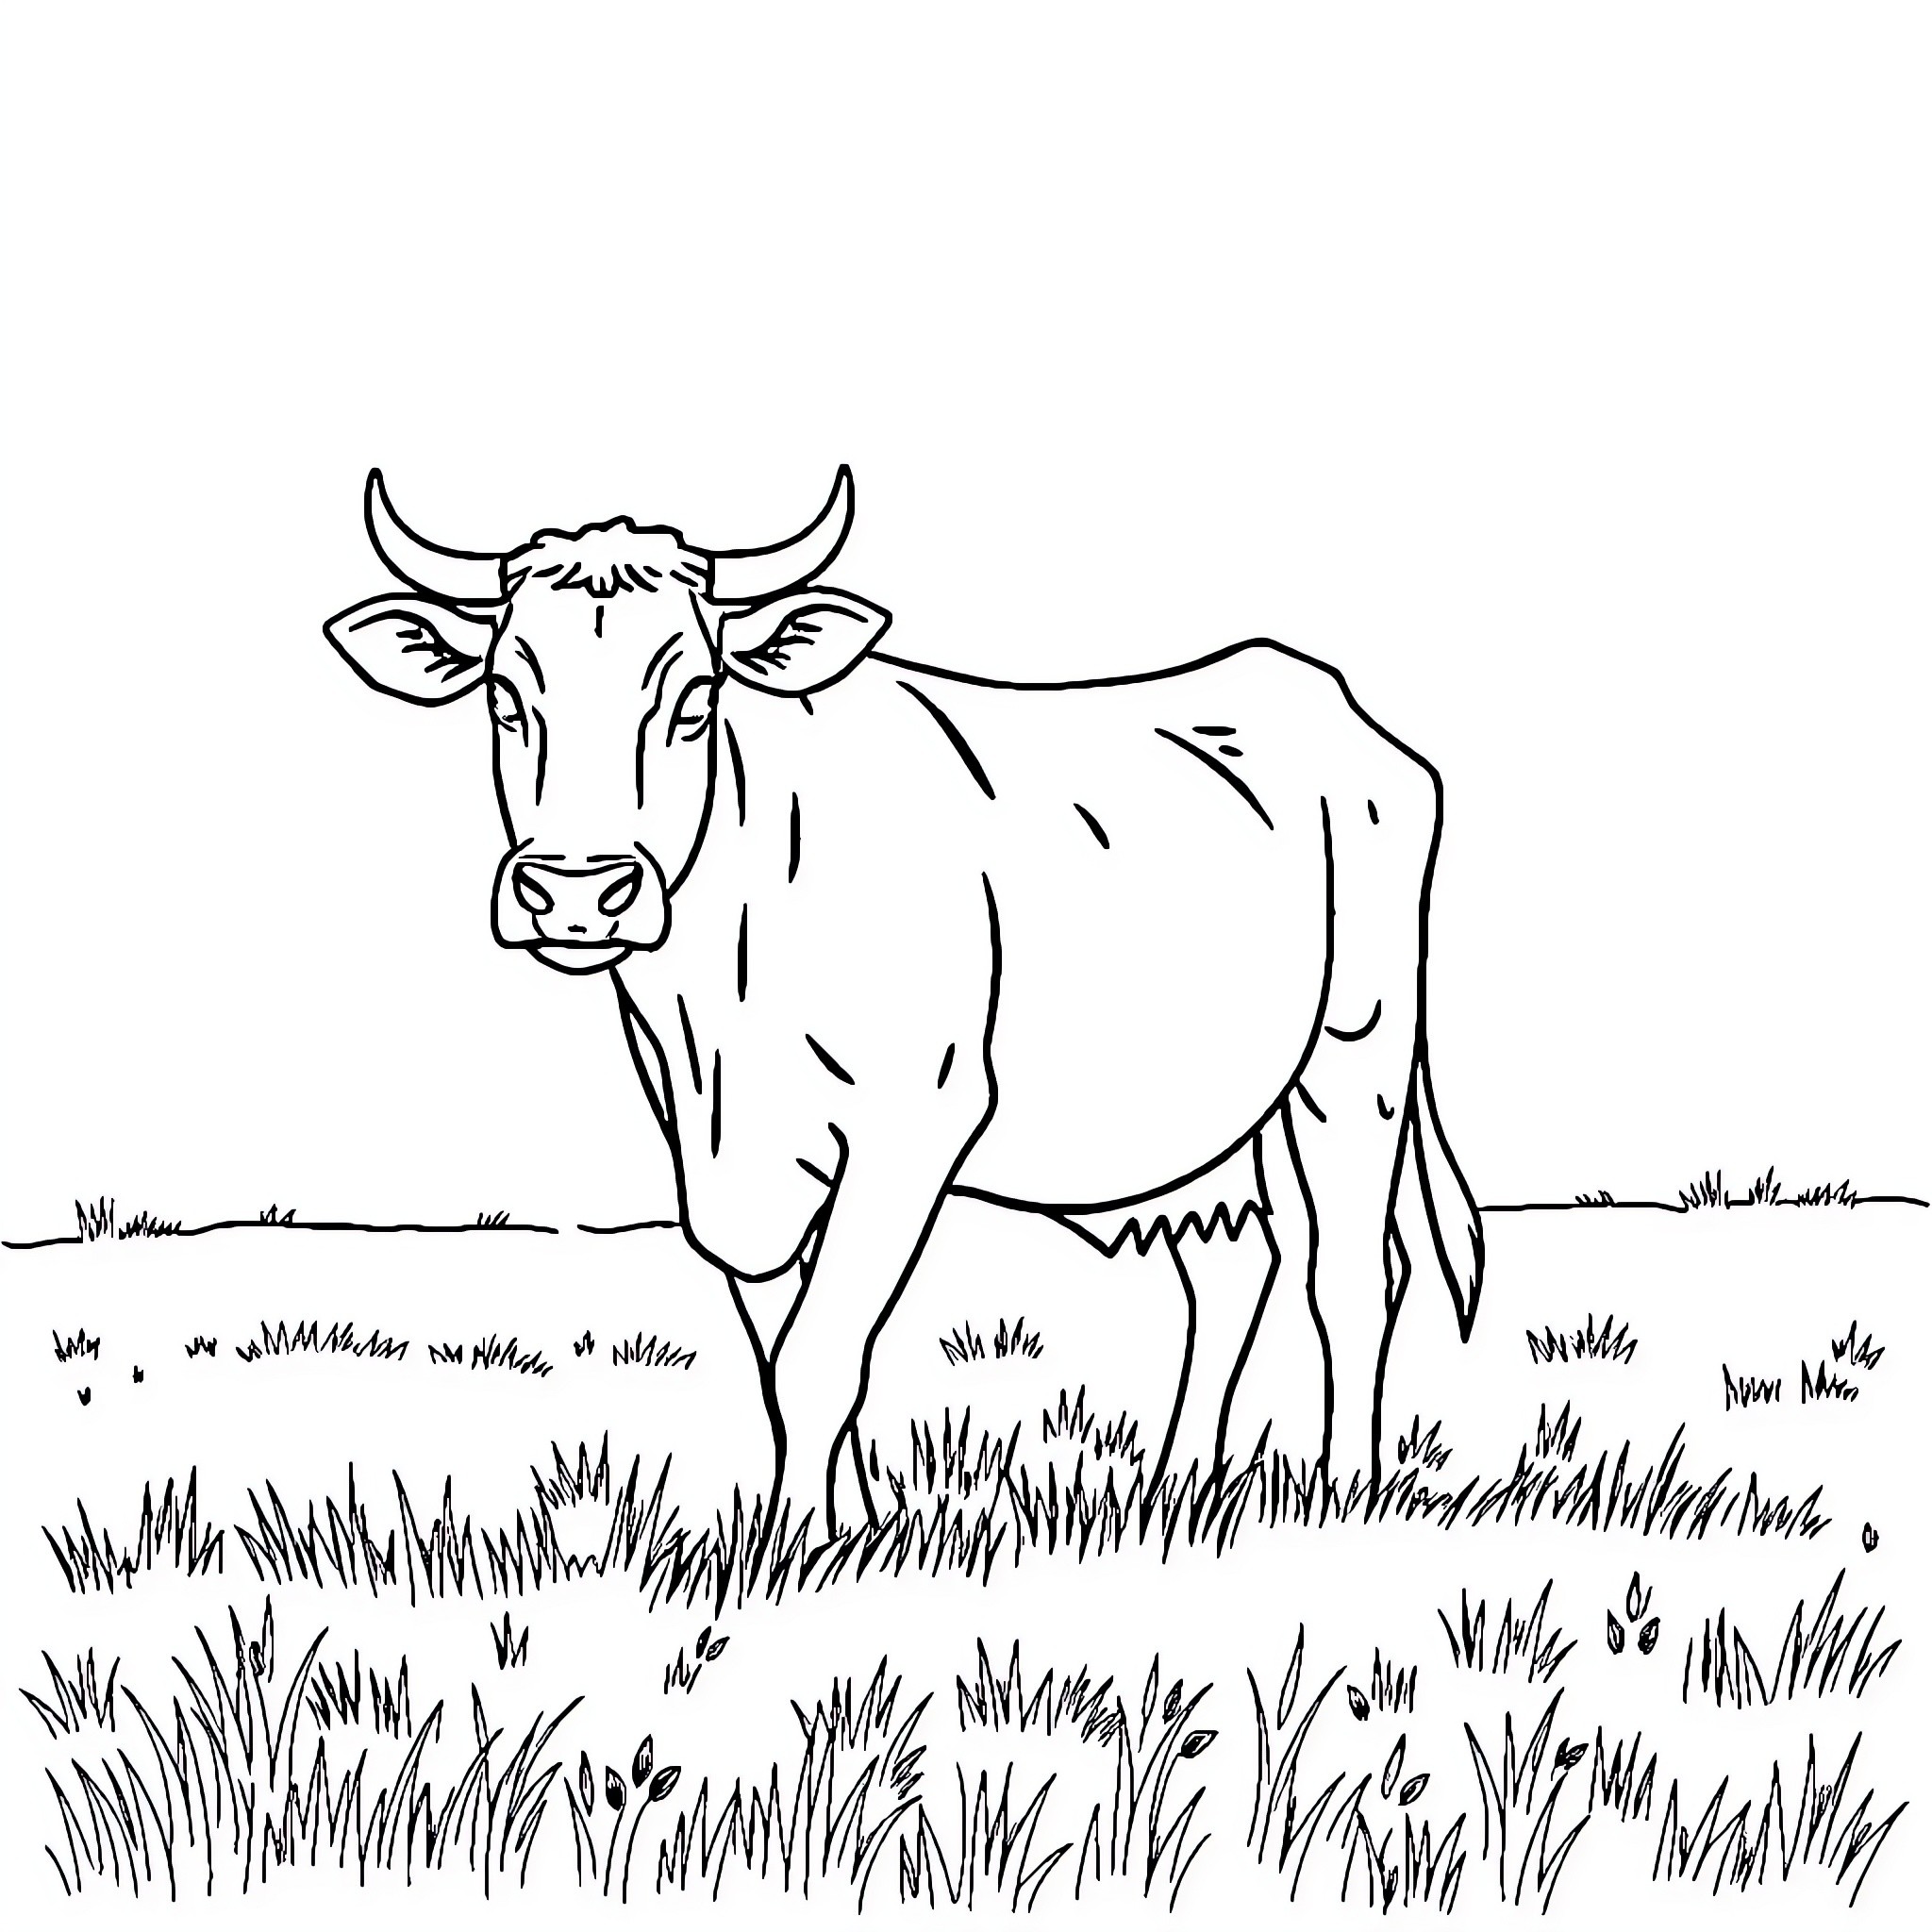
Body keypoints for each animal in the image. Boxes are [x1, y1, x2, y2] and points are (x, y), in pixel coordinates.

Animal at [324, 468, 1483, 1541]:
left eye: (693, 700)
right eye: (506, 699)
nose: (574, 888)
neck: (721, 1019)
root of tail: (1313, 691)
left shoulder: (911, 1124)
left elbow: (818, 1355)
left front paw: (790, 1548)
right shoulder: (727, 1162)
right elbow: (784, 1354)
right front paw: (856, 1521)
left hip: (1354, 1054)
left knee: (1348, 1273)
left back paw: (1343, 1489)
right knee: (1230, 1264)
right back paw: (1175, 1490)